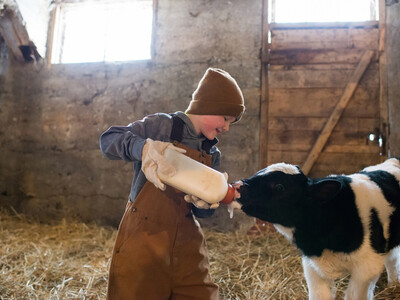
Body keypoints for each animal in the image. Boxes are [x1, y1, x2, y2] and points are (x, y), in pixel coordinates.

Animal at [233, 158, 400, 298]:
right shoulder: (312, 267)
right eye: (258, 172)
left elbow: (354, 295)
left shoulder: (367, 268)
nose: (237, 186)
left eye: (279, 187)